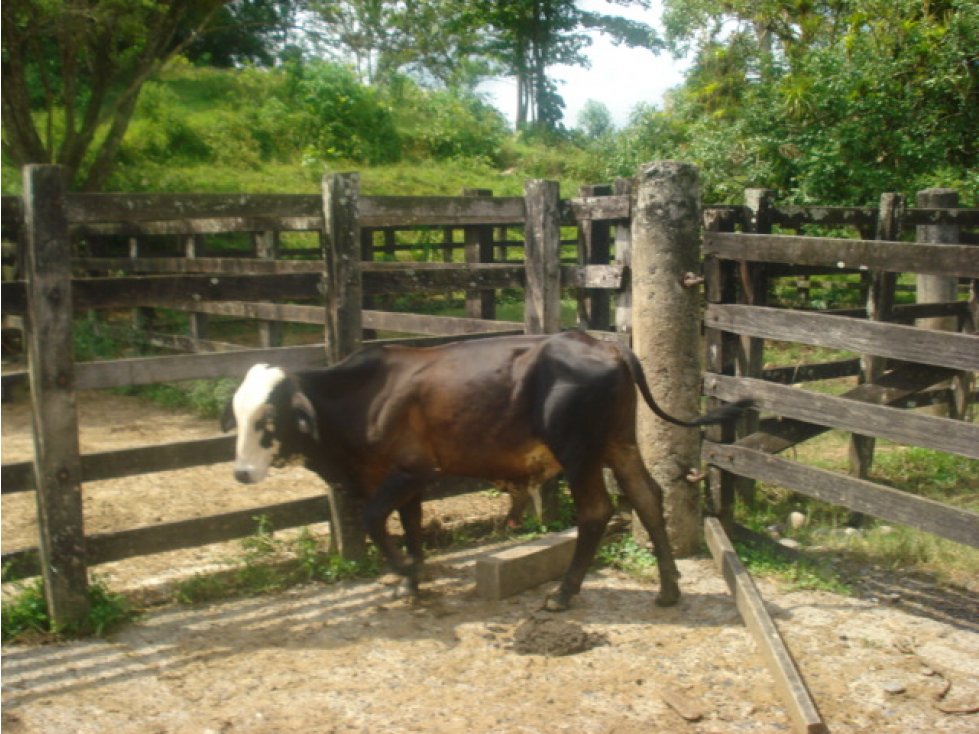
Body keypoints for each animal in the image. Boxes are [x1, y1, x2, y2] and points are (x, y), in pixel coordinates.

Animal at [222, 330, 752, 612]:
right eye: (237, 414)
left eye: (267, 420)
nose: (242, 472)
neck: (363, 396)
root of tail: (605, 346)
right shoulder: (405, 479)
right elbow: (411, 524)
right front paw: (414, 578)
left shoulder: (410, 472)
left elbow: (375, 520)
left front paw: (405, 572)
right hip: (619, 443)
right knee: (647, 497)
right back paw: (668, 589)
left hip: (579, 453)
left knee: (597, 512)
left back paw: (563, 593)